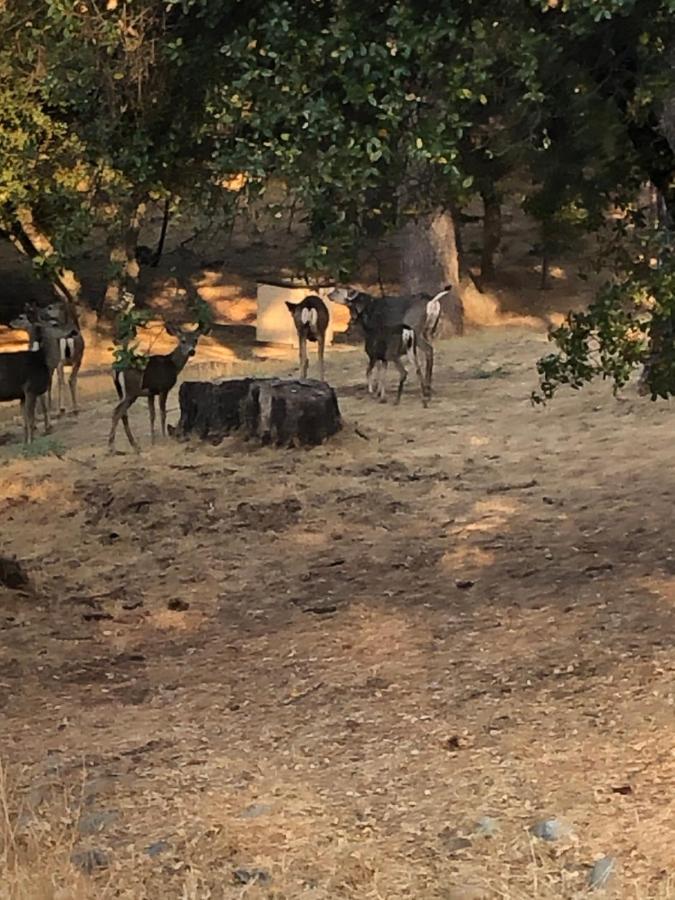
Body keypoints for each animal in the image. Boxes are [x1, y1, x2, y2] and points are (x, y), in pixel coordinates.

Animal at [2, 302, 51, 442]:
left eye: (21, 316)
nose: (10, 322)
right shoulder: (30, 389)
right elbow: (30, 419)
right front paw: (31, 441)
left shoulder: (23, 395)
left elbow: (26, 421)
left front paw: (26, 441)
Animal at [109, 322, 209, 454]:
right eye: (183, 340)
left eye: (195, 340)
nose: (191, 351)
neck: (173, 365)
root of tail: (117, 369)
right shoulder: (163, 388)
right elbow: (162, 413)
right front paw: (163, 438)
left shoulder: (151, 392)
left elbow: (152, 415)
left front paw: (153, 441)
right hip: (131, 391)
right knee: (117, 412)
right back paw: (113, 447)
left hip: (123, 392)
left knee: (123, 414)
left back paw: (134, 445)